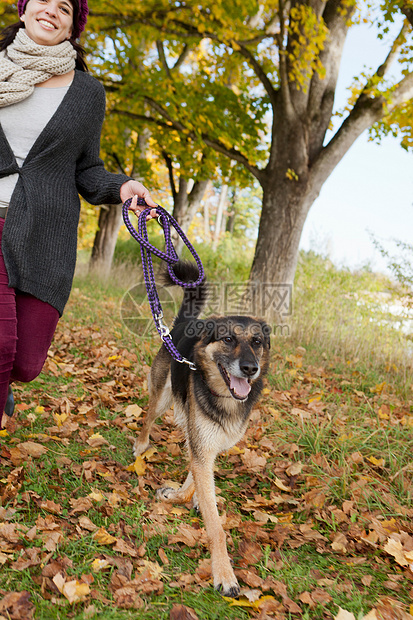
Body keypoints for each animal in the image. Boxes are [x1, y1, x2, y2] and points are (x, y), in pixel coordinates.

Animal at [134, 260, 270, 596]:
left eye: (256, 342)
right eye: (229, 339)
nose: (250, 369)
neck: (224, 399)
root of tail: (188, 321)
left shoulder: (209, 444)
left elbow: (197, 480)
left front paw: (183, 495)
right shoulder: (202, 446)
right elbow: (216, 526)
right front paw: (224, 574)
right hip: (163, 395)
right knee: (148, 416)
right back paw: (140, 445)